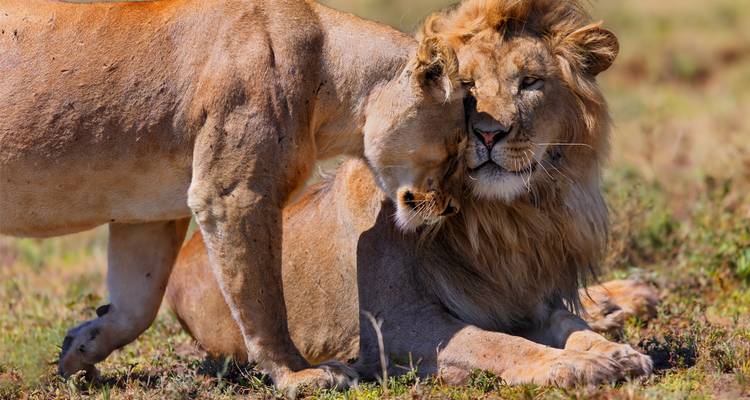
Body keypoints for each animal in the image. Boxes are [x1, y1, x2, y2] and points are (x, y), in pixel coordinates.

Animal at [0, 0, 468, 393]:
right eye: (456, 149)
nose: (451, 207)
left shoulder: (149, 213)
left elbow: (137, 305)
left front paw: (79, 349)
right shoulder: (233, 196)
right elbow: (263, 300)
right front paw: (299, 374)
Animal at [166, 0, 658, 388]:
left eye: (531, 82)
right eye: (468, 87)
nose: (489, 134)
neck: (502, 219)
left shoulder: (529, 298)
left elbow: (570, 322)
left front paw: (614, 352)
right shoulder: (391, 327)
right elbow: (494, 342)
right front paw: (572, 365)